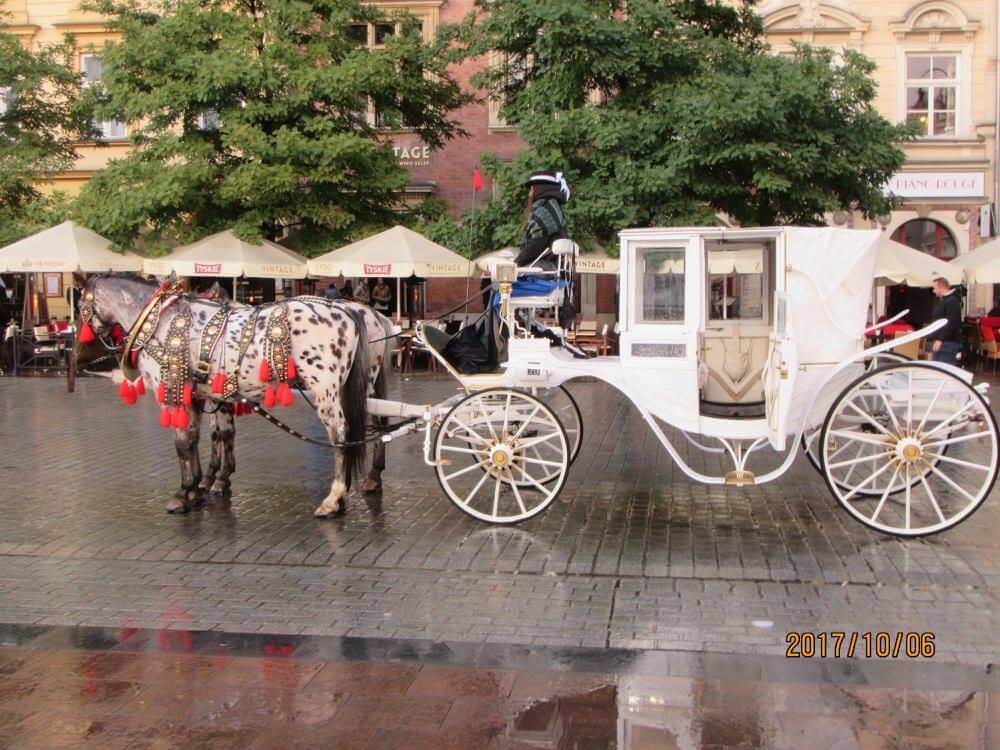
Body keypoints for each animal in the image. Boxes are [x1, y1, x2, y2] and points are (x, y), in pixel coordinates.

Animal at [75, 274, 394, 516]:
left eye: (79, 305)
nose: (80, 360)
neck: (160, 322)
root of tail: (353, 313)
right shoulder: (201, 395)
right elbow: (201, 437)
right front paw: (199, 487)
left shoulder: (176, 393)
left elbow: (186, 442)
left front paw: (187, 490)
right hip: (360, 385)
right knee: (375, 425)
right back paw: (368, 480)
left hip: (325, 389)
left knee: (340, 433)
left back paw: (334, 497)